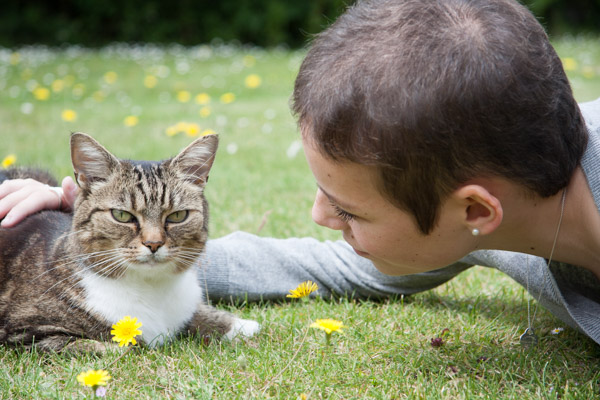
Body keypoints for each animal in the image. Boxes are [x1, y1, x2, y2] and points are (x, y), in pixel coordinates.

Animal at [0, 133, 258, 352]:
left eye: (177, 216)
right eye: (122, 215)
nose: (153, 243)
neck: (150, 289)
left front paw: (240, 326)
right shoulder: (27, 332)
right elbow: (118, 348)